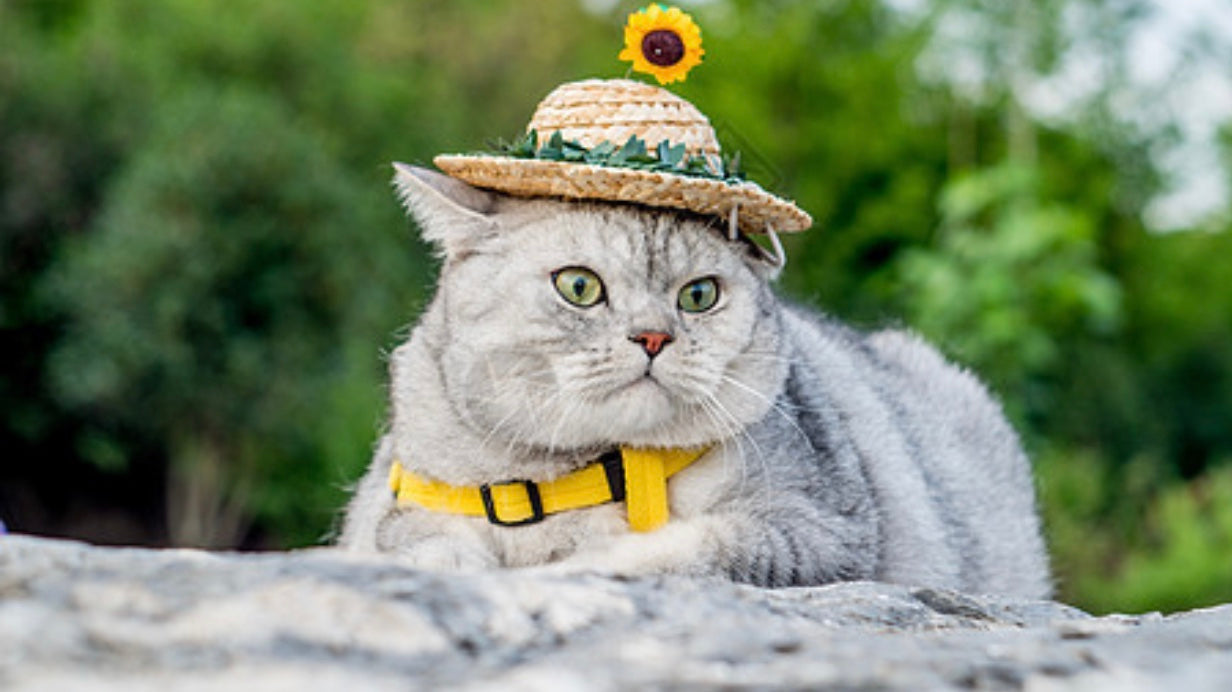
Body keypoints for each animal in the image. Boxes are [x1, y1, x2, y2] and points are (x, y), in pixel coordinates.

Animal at [337, 162, 1049, 598]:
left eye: (699, 295)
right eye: (579, 286)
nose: (654, 338)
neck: (592, 472)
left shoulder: (817, 528)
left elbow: (680, 548)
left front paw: (574, 564)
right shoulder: (403, 511)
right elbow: (426, 546)